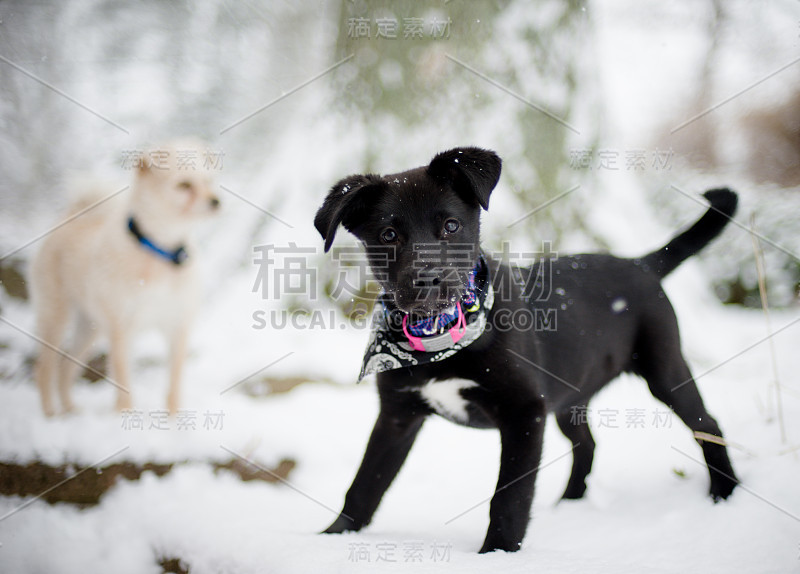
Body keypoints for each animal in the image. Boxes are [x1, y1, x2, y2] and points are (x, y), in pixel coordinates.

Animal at [31, 142, 220, 416]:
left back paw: (70, 411)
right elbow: (123, 381)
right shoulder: (122, 328)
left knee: (66, 367)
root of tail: (73, 214)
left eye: (209, 181)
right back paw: (51, 415)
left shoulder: (178, 326)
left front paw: (174, 421)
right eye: (184, 184)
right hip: (56, 317)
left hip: (90, 327)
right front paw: (125, 416)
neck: (160, 250)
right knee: (44, 368)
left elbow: (174, 383)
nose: (216, 201)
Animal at [312, 147, 736, 552]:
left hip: (663, 368)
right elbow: (365, 484)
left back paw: (724, 493)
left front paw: (497, 552)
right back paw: (570, 504)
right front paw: (333, 538)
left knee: (707, 424)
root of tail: (641, 265)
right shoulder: (397, 415)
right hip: (570, 394)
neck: (439, 334)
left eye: (451, 226)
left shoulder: (524, 411)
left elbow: (510, 496)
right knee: (587, 443)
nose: (428, 280)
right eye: (388, 235)